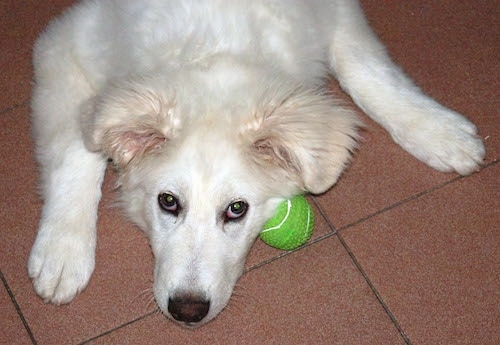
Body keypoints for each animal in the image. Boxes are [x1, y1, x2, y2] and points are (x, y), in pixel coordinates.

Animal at [27, 0, 484, 326]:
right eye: (168, 202)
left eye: (236, 209)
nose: (187, 311)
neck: (217, 43)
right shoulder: (67, 42)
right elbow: (76, 147)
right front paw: (63, 249)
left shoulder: (335, 12)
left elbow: (366, 70)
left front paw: (436, 131)